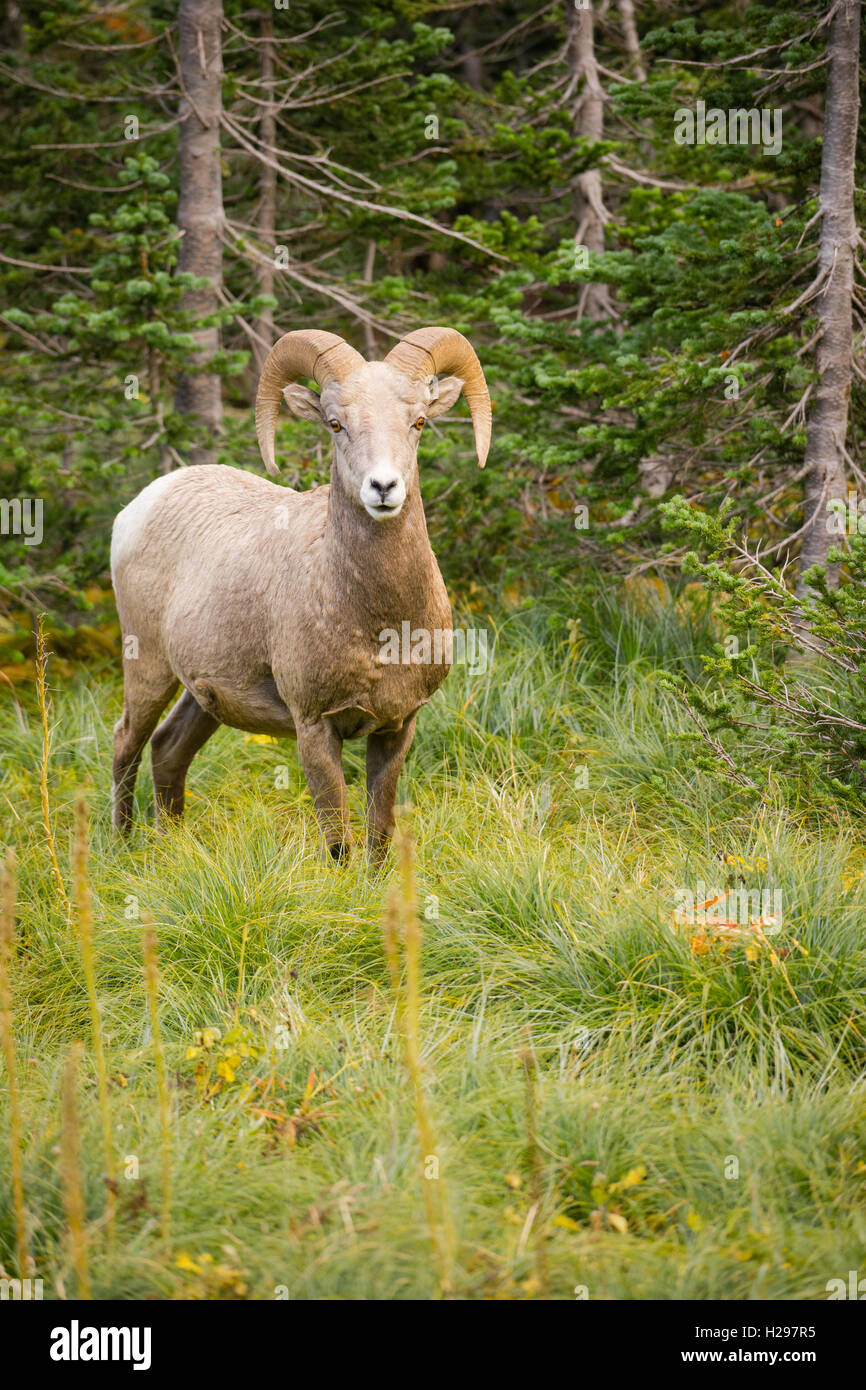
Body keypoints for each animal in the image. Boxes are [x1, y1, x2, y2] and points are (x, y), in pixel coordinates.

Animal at [109, 330, 489, 861]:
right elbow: (338, 840)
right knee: (126, 743)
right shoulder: (314, 727)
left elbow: (379, 833)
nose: (383, 487)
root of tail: (139, 506)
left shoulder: (397, 727)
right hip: (147, 667)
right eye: (335, 423)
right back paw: (122, 847)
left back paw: (172, 845)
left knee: (167, 749)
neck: (380, 627)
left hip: (204, 695)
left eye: (418, 422)